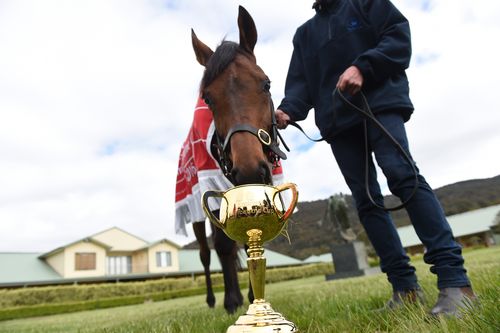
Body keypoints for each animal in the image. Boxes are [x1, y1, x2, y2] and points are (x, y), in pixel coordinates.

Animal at [190, 7, 288, 314]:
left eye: (266, 84)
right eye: (208, 98)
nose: (249, 172)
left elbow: (248, 241)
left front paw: (251, 296)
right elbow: (222, 245)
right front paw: (231, 299)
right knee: (205, 253)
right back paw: (212, 299)